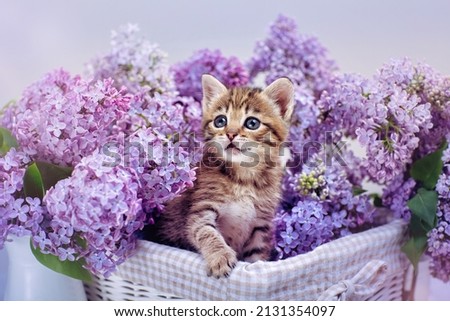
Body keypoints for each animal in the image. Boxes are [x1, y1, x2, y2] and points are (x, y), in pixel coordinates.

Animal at [155, 74, 296, 276]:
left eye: (252, 123)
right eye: (220, 121)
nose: (230, 134)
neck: (244, 178)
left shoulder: (261, 223)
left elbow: (256, 255)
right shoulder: (202, 208)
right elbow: (205, 231)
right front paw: (220, 257)